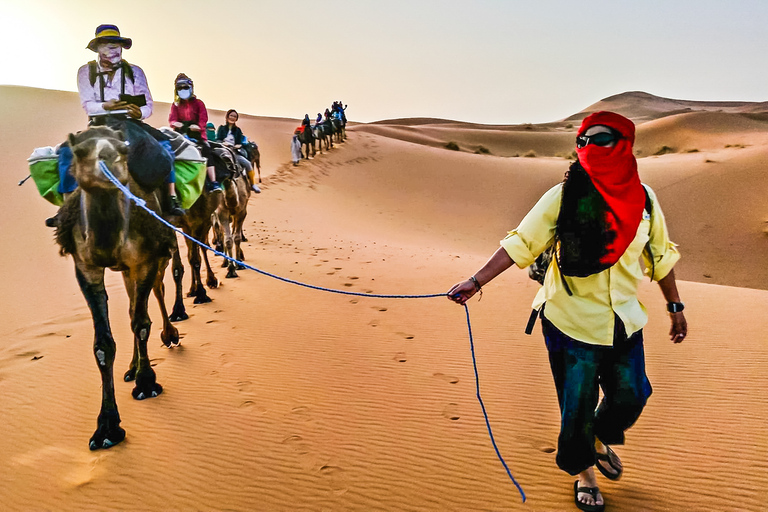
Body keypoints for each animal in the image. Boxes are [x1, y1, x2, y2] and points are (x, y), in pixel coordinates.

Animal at [55, 126, 178, 450]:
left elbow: (142, 323)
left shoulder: (146, 259)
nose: (108, 160)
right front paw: (107, 427)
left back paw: (170, 334)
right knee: (135, 302)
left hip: (163, 248)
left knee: (157, 290)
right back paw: (132, 367)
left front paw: (147, 383)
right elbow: (103, 344)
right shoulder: (85, 267)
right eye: (79, 152)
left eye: (124, 150)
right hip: (125, 269)